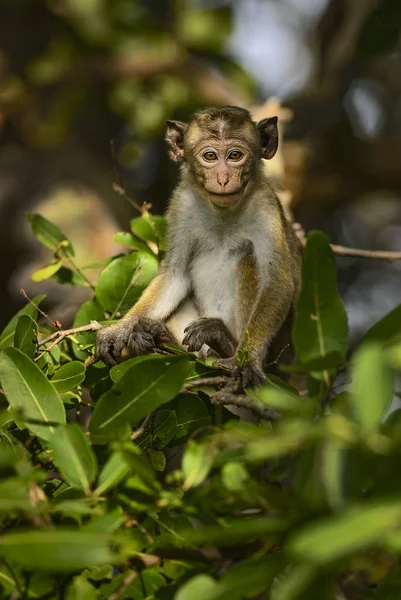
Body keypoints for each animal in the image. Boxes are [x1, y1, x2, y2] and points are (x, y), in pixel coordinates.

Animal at [95, 105, 298, 386]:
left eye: (235, 155)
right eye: (210, 156)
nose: (223, 178)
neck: (223, 211)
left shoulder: (265, 206)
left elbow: (277, 281)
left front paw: (247, 360)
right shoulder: (182, 203)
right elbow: (175, 274)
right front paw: (121, 328)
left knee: (249, 260)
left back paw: (225, 343)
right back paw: (160, 338)